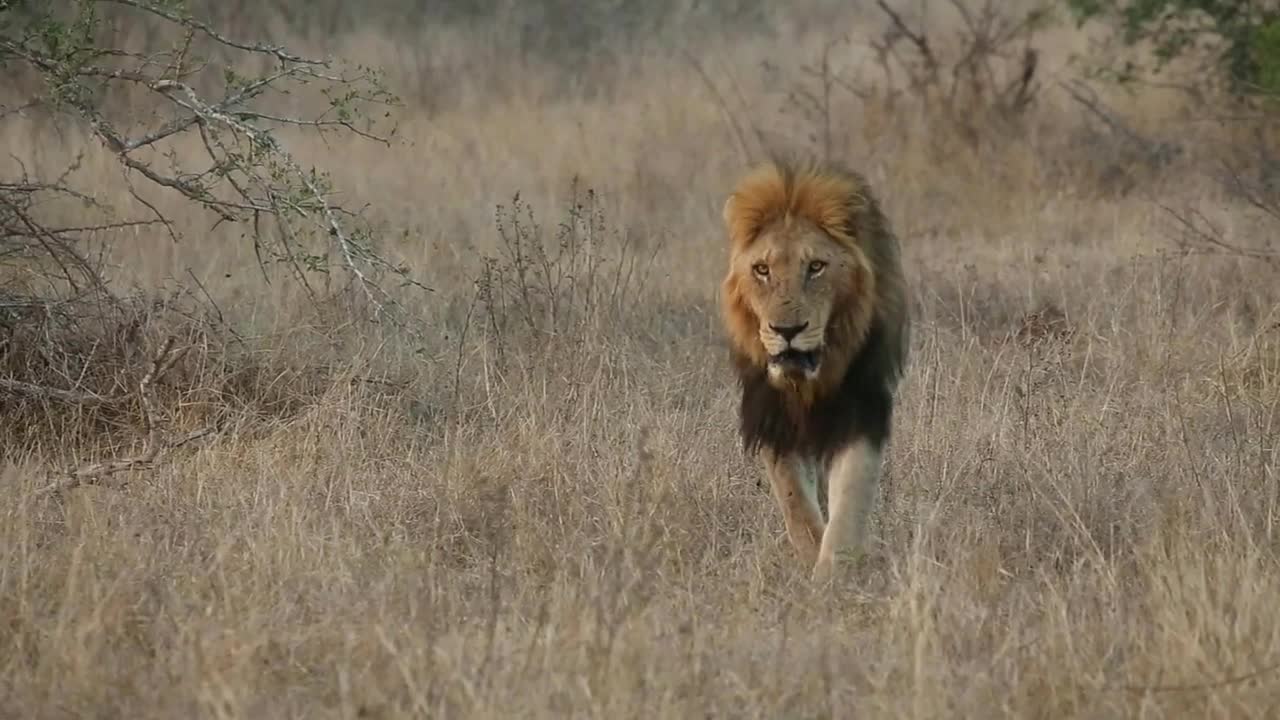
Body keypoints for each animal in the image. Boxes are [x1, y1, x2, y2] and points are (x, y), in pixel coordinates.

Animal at [721, 156, 911, 584]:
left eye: (816, 267)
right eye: (762, 269)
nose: (787, 331)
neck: (808, 382)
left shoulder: (861, 408)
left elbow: (852, 495)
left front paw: (833, 573)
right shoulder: (771, 415)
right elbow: (794, 501)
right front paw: (811, 555)